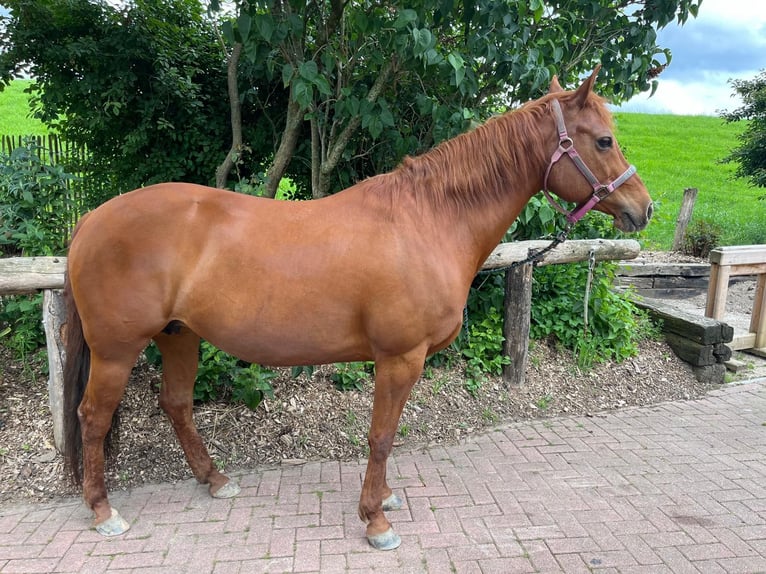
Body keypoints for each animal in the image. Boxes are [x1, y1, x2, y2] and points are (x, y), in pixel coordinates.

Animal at [64, 70, 656, 552]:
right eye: (603, 139)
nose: (643, 208)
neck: (427, 220)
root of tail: (92, 219)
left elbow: (386, 437)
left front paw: (385, 498)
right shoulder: (399, 358)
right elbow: (381, 436)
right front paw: (375, 520)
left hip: (179, 334)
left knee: (177, 404)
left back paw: (215, 479)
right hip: (117, 350)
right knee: (93, 417)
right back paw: (103, 510)